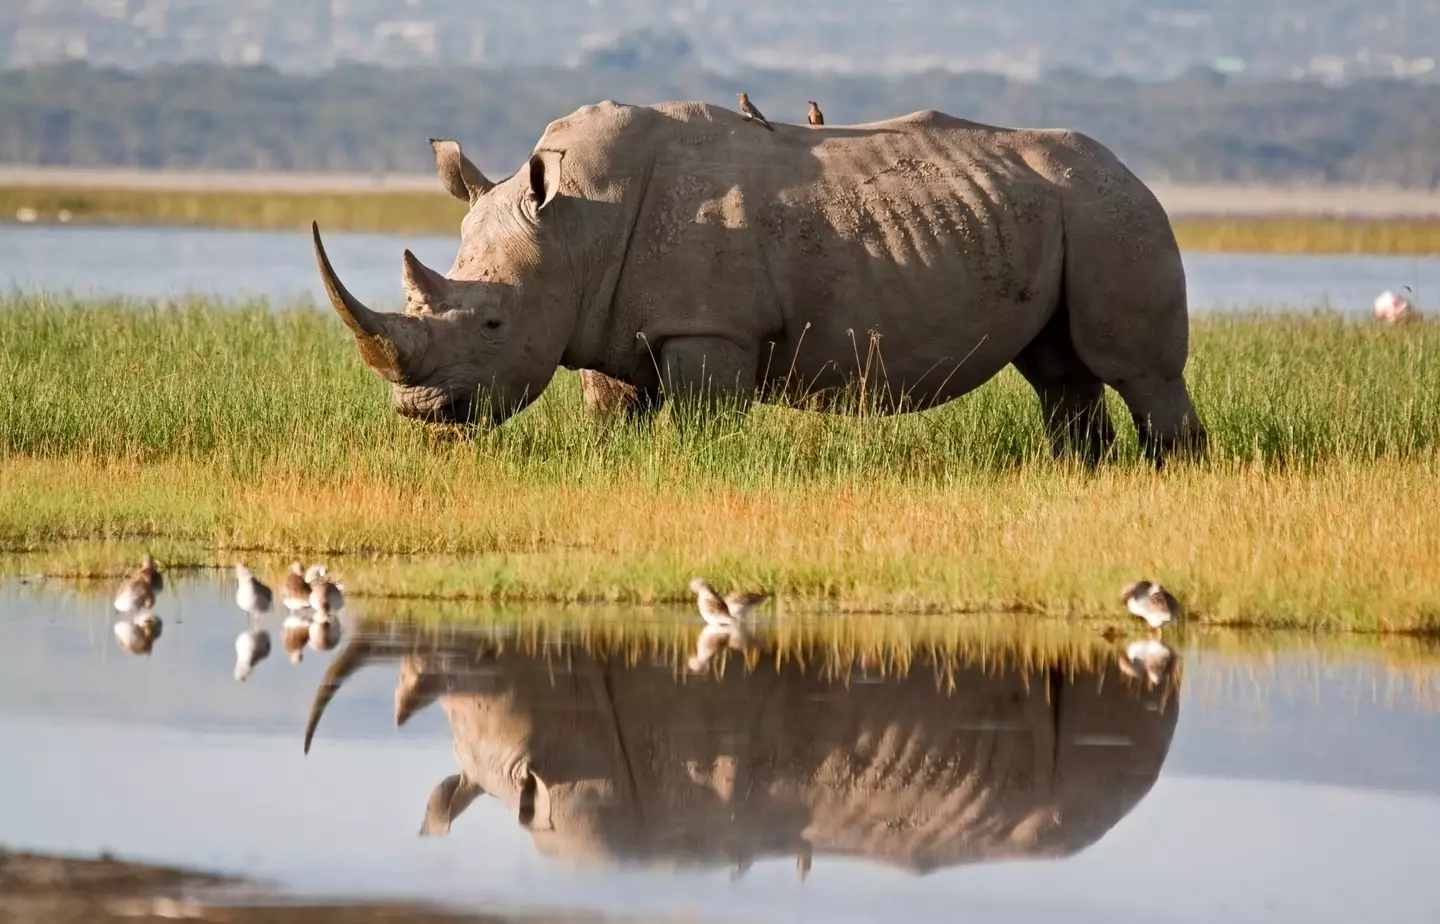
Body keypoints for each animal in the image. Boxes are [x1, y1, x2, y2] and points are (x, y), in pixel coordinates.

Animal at [312, 101, 1206, 465]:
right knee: (1059, 373)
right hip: (1067, 213)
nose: (421, 412)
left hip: (1114, 213)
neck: (573, 228)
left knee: (1139, 371)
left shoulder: (711, 331)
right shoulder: (604, 322)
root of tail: (1129, 168)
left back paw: (1171, 473)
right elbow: (614, 414)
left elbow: (704, 423)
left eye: (493, 326)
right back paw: (1082, 473)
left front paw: (698, 470)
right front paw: (615, 465)